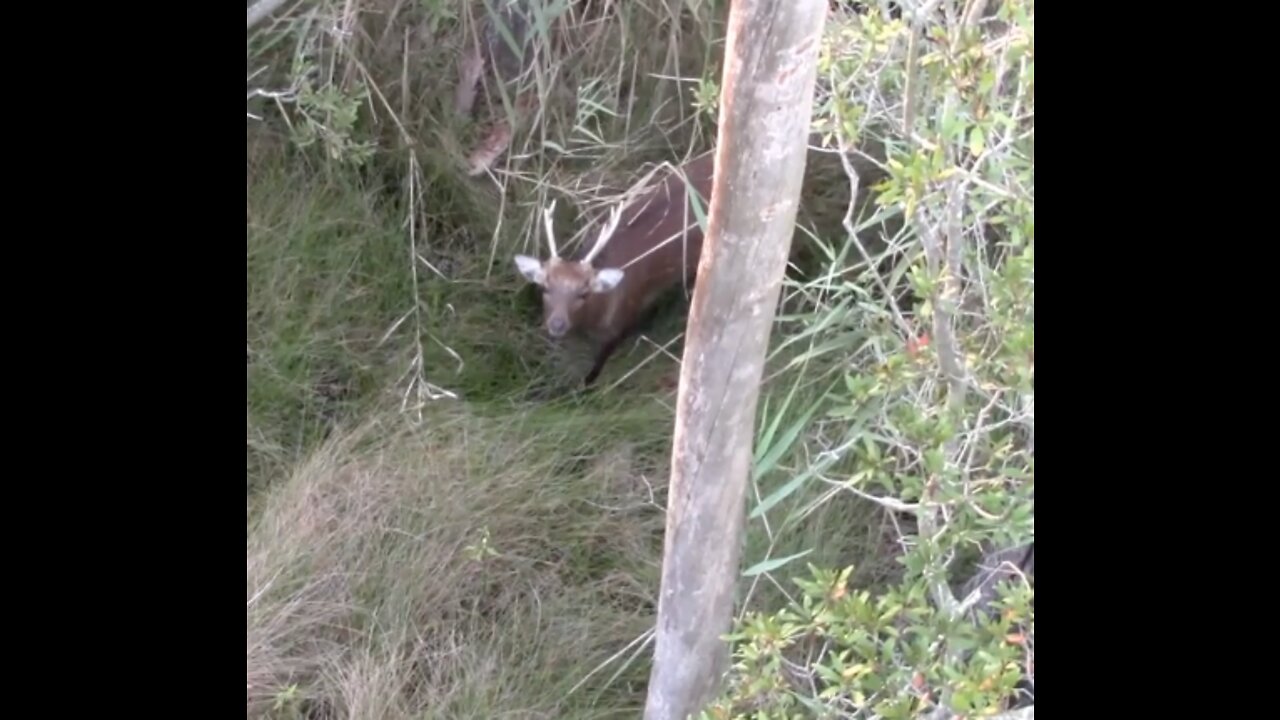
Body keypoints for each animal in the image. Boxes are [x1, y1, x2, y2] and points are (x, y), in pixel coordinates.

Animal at [512, 151, 721, 386]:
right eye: (545, 288)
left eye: (584, 293)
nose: (557, 325)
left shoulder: (624, 322)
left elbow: (599, 362)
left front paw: (587, 383)